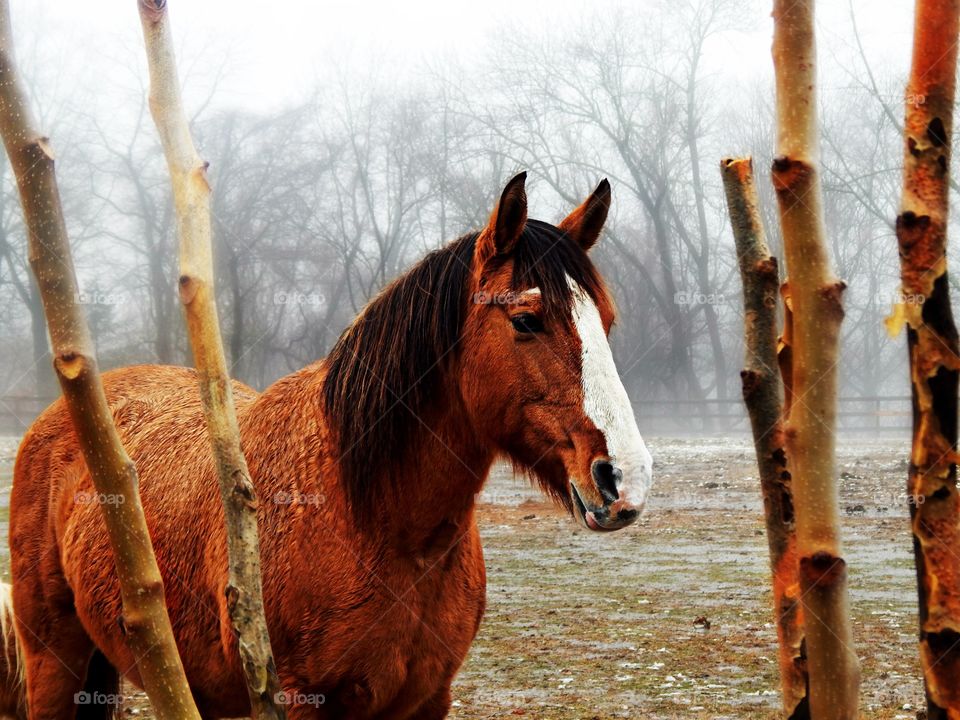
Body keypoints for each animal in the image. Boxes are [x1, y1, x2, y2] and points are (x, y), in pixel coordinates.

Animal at [7, 172, 652, 716]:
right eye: (525, 320)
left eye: (608, 322)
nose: (625, 478)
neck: (370, 518)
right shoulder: (300, 701)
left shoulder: (428, 700)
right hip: (54, 663)